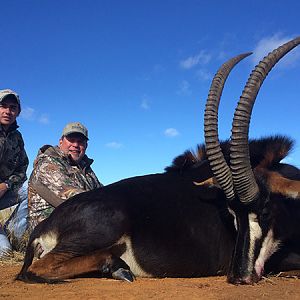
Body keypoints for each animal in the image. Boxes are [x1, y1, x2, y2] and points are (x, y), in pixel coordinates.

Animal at [17, 37, 300, 284]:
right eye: (231, 214)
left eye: (265, 210)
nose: (239, 276)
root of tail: (43, 227)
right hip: (107, 224)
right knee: (38, 267)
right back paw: (116, 266)